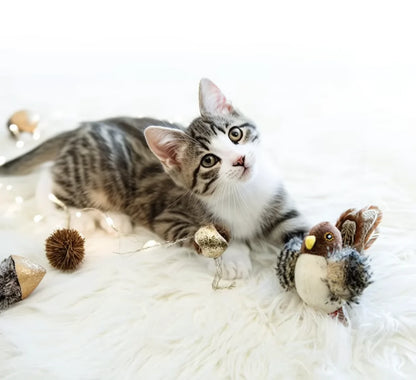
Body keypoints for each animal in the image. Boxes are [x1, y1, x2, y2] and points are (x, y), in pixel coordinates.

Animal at [0, 78, 308, 280]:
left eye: (235, 134)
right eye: (209, 161)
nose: (240, 160)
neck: (243, 192)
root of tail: (84, 127)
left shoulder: (279, 203)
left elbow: (302, 233)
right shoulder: (169, 218)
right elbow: (202, 236)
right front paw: (233, 256)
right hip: (96, 179)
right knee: (49, 184)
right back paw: (89, 217)